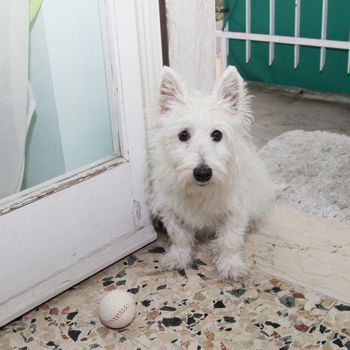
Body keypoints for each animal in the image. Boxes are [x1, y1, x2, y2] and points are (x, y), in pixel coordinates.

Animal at [146, 65, 274, 278]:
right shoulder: (171, 208)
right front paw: (178, 257)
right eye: (183, 135)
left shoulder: (236, 210)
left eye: (217, 134)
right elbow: (179, 236)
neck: (200, 192)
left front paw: (231, 265)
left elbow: (230, 240)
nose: (203, 172)